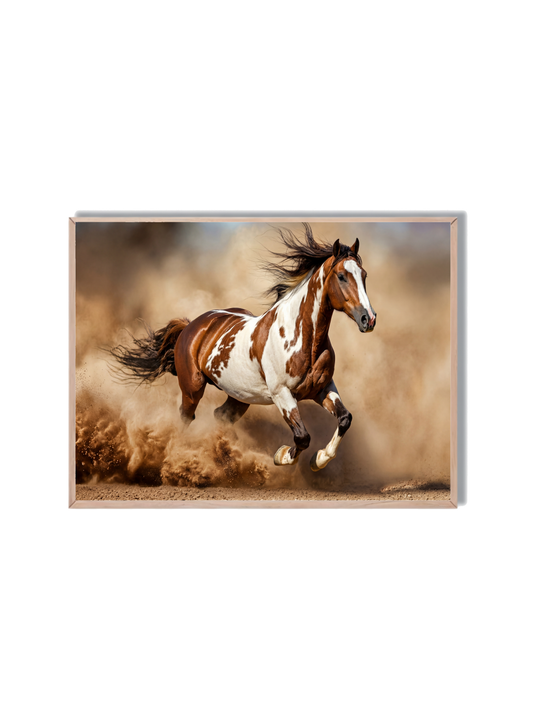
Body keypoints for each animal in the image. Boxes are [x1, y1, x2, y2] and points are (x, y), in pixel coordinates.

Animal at [111, 224, 377, 472]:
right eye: (342, 276)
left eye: (364, 275)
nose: (369, 319)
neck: (303, 340)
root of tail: (192, 325)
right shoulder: (282, 394)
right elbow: (302, 437)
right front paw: (281, 456)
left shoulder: (323, 388)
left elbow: (344, 419)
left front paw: (318, 460)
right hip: (192, 388)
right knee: (186, 417)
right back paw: (180, 458)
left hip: (239, 397)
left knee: (220, 415)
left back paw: (223, 457)